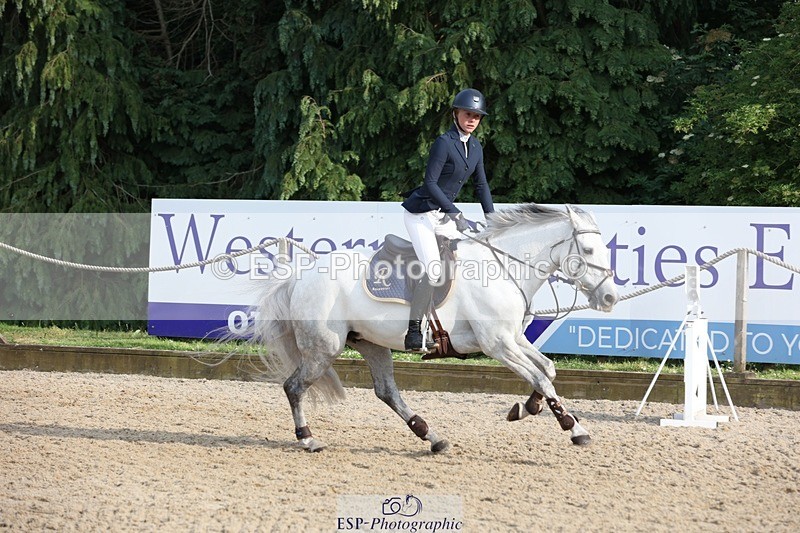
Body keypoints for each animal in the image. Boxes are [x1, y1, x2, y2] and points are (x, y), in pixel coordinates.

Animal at [247, 204, 619, 452]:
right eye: (588, 250)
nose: (610, 297)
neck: (503, 267)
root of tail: (300, 275)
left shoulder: (513, 339)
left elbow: (548, 370)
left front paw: (526, 408)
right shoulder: (498, 344)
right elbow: (541, 377)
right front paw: (575, 429)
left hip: (370, 343)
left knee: (387, 392)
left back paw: (431, 436)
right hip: (324, 348)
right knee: (294, 387)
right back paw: (308, 438)